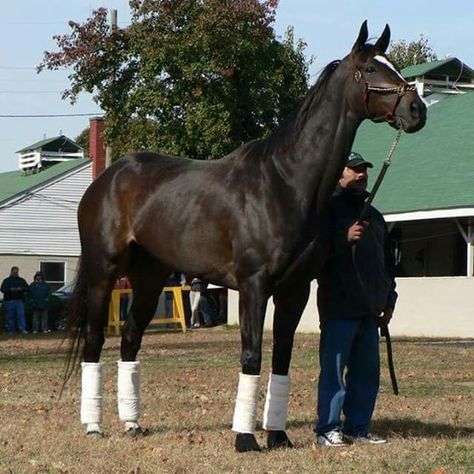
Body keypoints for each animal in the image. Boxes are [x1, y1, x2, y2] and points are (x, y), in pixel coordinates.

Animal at [65, 22, 426, 452]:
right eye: (371, 68)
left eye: (394, 64)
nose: (416, 110)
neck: (286, 183)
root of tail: (108, 177)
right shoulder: (254, 287)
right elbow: (252, 355)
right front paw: (245, 439)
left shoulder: (294, 290)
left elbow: (282, 358)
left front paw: (278, 435)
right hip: (104, 272)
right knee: (94, 339)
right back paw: (92, 425)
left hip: (149, 276)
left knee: (131, 339)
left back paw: (132, 424)